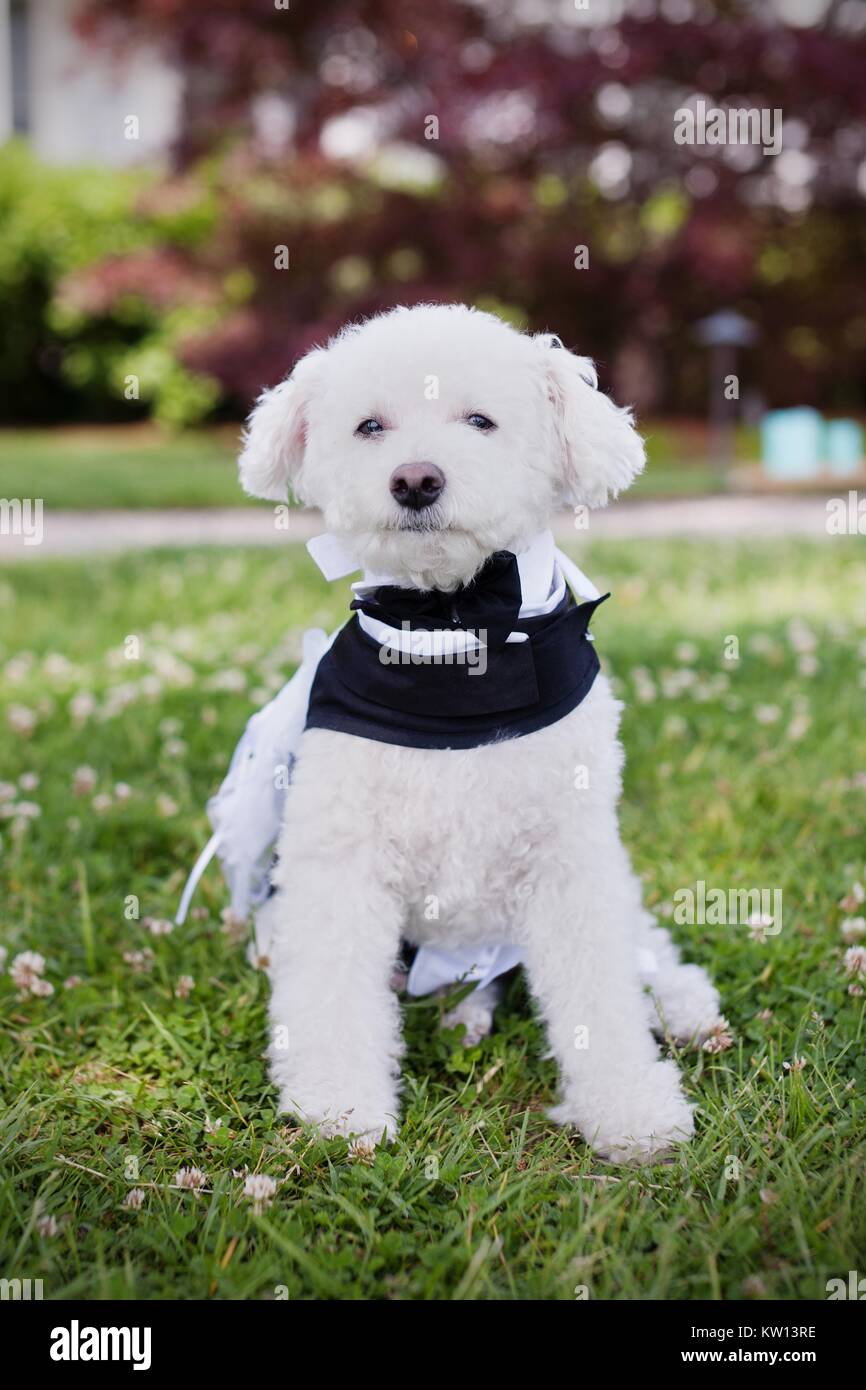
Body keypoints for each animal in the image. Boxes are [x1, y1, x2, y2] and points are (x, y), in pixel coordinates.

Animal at [240, 304, 722, 1162]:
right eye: (370, 426)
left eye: (480, 421)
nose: (416, 479)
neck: (452, 633)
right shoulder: (340, 863)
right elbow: (332, 994)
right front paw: (339, 1105)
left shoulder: (570, 860)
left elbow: (603, 992)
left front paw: (630, 1108)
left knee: (644, 944)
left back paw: (685, 1004)